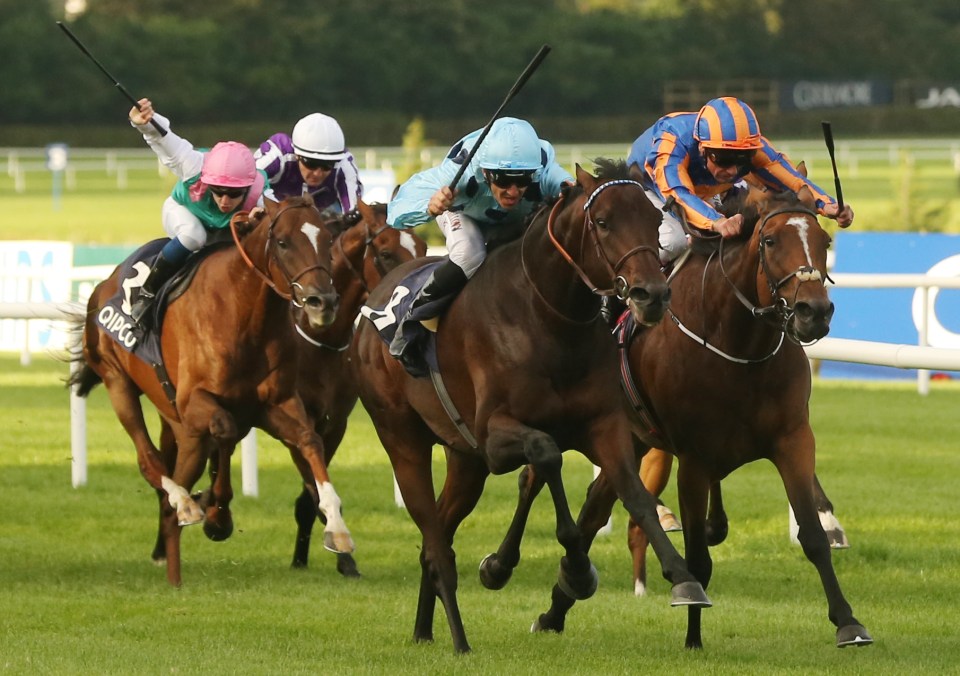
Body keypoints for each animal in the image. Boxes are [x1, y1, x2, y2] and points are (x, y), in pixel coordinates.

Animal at [70, 195, 356, 588]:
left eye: (328, 240)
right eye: (283, 242)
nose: (322, 302)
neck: (244, 313)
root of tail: (103, 284)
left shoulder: (277, 403)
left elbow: (309, 442)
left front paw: (337, 527)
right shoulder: (196, 402)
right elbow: (224, 429)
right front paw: (216, 514)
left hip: (176, 419)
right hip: (118, 382)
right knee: (149, 460)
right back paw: (185, 504)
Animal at [348, 161, 708, 652]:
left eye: (655, 221)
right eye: (602, 222)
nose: (651, 295)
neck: (548, 317)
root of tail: (373, 304)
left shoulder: (603, 426)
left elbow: (633, 493)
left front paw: (682, 578)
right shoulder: (494, 436)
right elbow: (546, 455)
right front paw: (569, 570)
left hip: (465, 462)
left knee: (437, 532)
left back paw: (424, 630)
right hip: (403, 439)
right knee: (435, 543)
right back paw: (460, 641)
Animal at [492, 186, 872, 648]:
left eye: (825, 240)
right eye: (769, 241)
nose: (813, 312)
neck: (739, 347)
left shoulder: (793, 440)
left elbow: (813, 536)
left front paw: (848, 621)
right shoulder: (695, 458)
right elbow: (699, 558)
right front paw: (693, 635)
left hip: (631, 439)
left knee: (593, 511)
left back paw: (556, 607)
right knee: (533, 481)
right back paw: (502, 564)